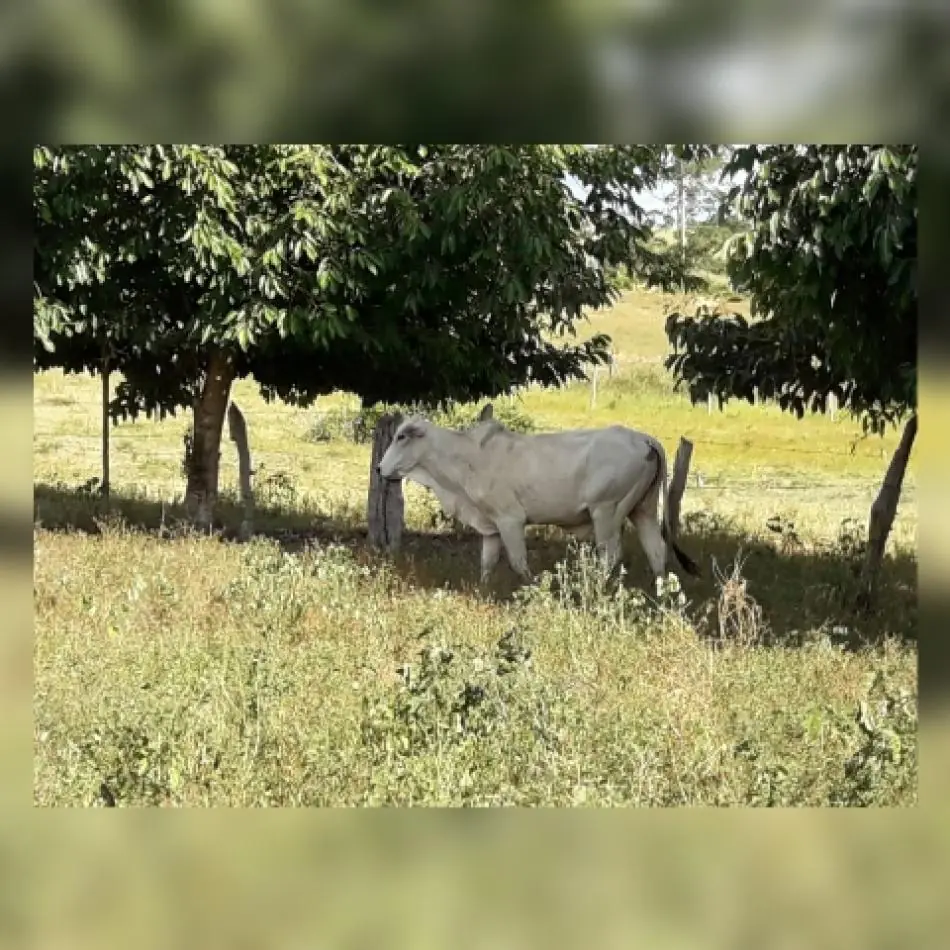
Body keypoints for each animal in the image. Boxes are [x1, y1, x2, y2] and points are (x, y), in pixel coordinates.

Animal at [378, 404, 700, 584]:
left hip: (606, 511)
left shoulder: (510, 520)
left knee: (610, 554)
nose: (380, 468)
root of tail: (645, 439)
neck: (468, 457)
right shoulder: (490, 528)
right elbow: (486, 564)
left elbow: (519, 563)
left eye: (402, 436)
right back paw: (662, 597)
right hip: (643, 509)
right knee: (657, 551)